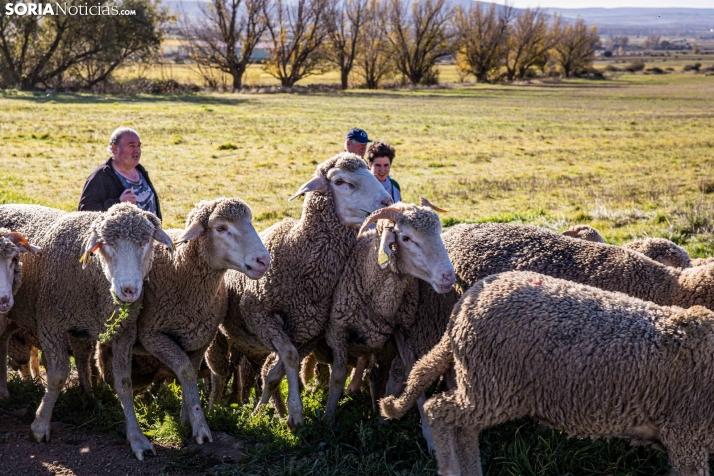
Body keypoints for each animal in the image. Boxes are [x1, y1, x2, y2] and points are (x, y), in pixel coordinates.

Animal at [0, 203, 174, 460]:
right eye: (105, 244)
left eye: (146, 243)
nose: (129, 290)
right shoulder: (51, 323)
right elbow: (57, 376)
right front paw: (40, 426)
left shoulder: (124, 333)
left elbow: (124, 383)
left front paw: (137, 438)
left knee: (2, 342)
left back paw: (3, 391)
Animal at [206, 153, 394, 428]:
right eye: (340, 181)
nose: (387, 202)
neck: (300, 253)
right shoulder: (260, 314)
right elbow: (290, 358)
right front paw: (295, 413)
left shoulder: (307, 332)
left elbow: (276, 372)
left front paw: (266, 414)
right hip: (219, 335)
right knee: (218, 373)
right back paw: (212, 409)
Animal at [382, 272, 714, 476]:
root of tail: (465, 303)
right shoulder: (688, 436)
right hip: (489, 386)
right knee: (438, 410)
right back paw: (450, 469)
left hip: (479, 384)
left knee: (464, 429)